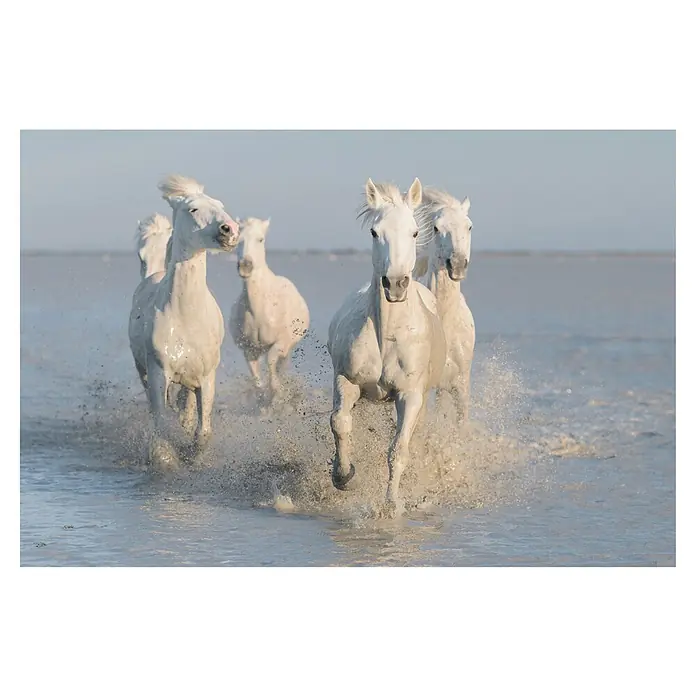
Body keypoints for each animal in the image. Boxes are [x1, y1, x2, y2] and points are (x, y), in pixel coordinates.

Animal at [128, 175, 240, 469]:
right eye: (193, 209)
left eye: (220, 205)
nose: (231, 230)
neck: (186, 317)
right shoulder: (158, 373)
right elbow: (160, 430)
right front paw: (167, 459)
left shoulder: (207, 377)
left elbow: (203, 432)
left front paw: (192, 453)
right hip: (143, 370)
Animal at [230, 217, 310, 406]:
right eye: (238, 239)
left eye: (261, 239)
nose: (245, 266)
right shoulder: (249, 349)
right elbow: (257, 380)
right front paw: (263, 398)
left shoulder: (282, 342)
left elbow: (272, 361)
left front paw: (276, 394)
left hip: (289, 347)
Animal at [327, 178, 447, 515]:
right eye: (374, 232)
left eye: (415, 232)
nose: (395, 284)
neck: (387, 336)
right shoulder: (346, 380)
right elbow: (340, 423)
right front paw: (343, 475)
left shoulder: (410, 394)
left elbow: (398, 449)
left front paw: (392, 504)